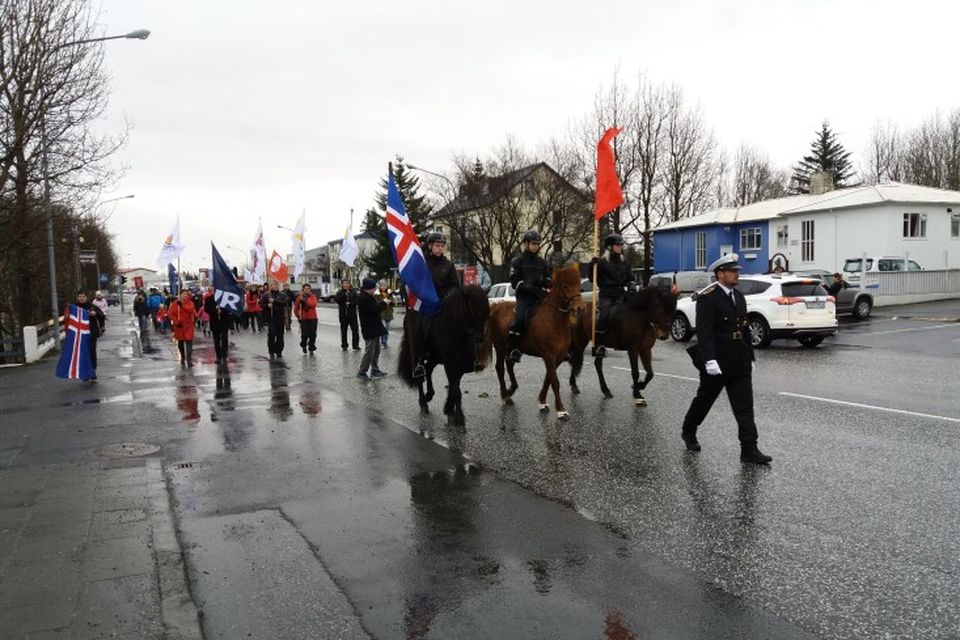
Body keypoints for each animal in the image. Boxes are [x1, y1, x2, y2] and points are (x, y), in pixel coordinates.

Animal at [398, 284, 492, 424]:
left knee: (429, 369)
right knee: (420, 375)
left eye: (486, 310)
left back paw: (429, 395)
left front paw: (449, 409)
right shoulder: (450, 363)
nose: (480, 338)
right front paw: (458, 418)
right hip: (419, 354)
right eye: (472, 309)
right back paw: (423, 403)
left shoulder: (460, 364)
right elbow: (455, 390)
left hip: (435, 357)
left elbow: (454, 387)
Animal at [484, 264, 580, 418]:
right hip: (500, 347)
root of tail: (496, 306)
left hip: (514, 348)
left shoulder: (558, 357)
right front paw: (560, 409)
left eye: (579, 285)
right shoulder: (549, 356)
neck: (555, 319)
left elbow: (548, 378)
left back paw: (511, 389)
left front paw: (542, 401)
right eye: (565, 286)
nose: (579, 307)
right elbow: (554, 381)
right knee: (500, 368)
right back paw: (505, 396)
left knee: (509, 364)